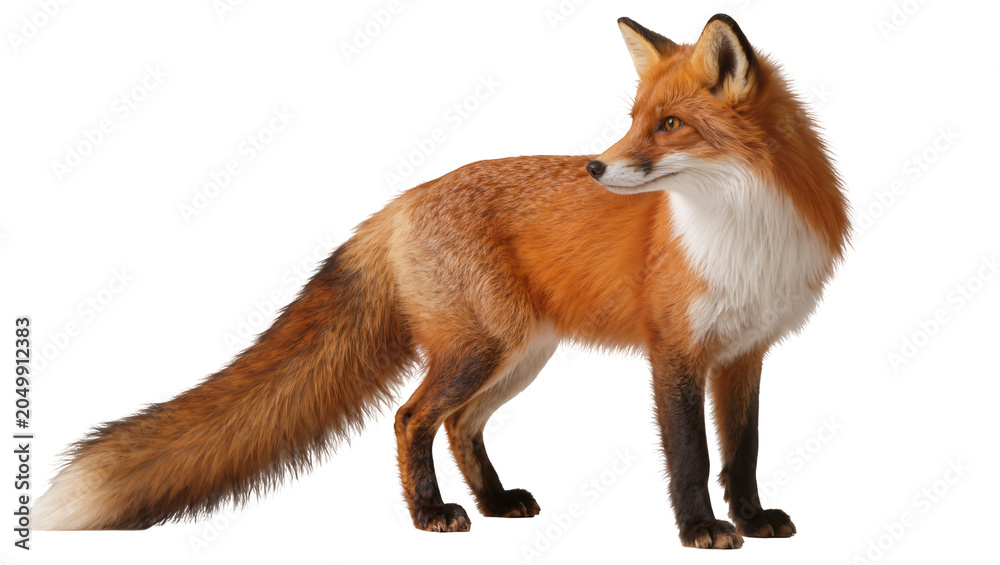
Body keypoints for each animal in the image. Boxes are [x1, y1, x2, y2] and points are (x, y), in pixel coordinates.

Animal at [34, 14, 848, 549]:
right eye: (633, 119)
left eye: (670, 124)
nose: (595, 166)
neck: (743, 229)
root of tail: (402, 200)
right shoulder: (673, 351)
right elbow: (691, 456)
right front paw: (701, 529)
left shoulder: (744, 354)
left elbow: (742, 451)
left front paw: (752, 519)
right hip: (481, 349)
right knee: (410, 419)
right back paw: (430, 515)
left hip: (517, 354)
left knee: (460, 424)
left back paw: (493, 501)